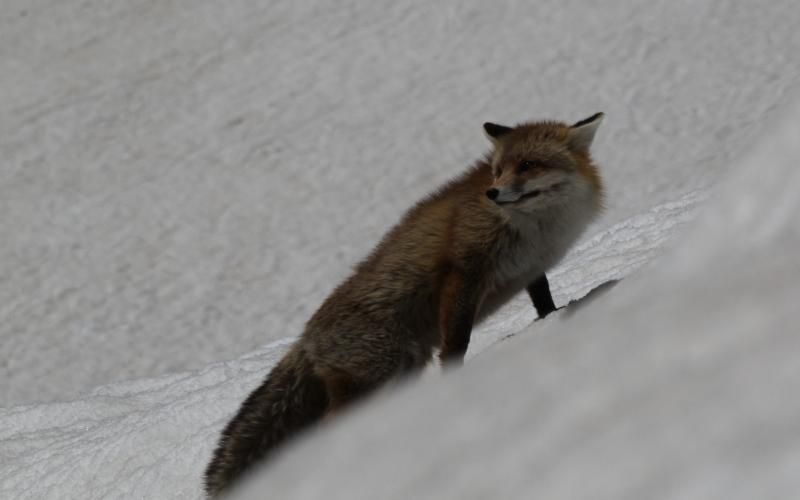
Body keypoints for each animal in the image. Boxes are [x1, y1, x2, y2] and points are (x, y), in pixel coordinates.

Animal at [204, 112, 605, 496]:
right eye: (497, 170)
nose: (492, 193)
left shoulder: (531, 268)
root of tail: (303, 339)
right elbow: (456, 343)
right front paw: (456, 380)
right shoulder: (464, 272)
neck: (538, 227)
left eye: (527, 165)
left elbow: (543, 300)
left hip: (402, 372)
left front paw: (554, 317)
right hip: (378, 372)